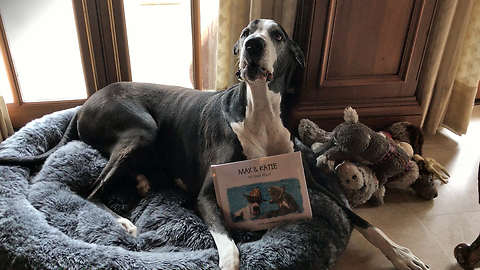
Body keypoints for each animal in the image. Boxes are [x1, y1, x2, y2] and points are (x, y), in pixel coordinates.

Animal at [0, 19, 428, 270]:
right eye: (246, 32)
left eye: (277, 35)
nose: (253, 44)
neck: (258, 109)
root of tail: (85, 102)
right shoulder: (208, 192)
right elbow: (231, 246)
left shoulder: (309, 179)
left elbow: (360, 218)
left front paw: (403, 254)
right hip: (141, 128)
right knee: (91, 192)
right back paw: (122, 219)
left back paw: (142, 182)